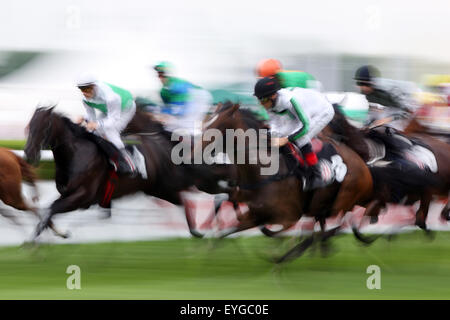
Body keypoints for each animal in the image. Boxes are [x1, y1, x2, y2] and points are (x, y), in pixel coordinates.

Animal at [25, 107, 232, 240]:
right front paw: (60, 233)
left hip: (177, 180)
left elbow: (51, 209)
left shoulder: (82, 197)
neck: (75, 154)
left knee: (208, 186)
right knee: (182, 201)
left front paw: (32, 243)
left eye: (43, 126)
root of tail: (163, 141)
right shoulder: (69, 195)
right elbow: (48, 211)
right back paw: (197, 231)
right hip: (158, 189)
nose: (28, 154)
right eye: (29, 127)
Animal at [200, 102, 372, 262]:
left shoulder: (289, 217)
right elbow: (228, 231)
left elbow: (277, 234)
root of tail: (361, 161)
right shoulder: (254, 213)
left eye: (219, 125)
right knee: (326, 227)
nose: (197, 149)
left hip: (342, 201)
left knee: (334, 226)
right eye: (207, 122)